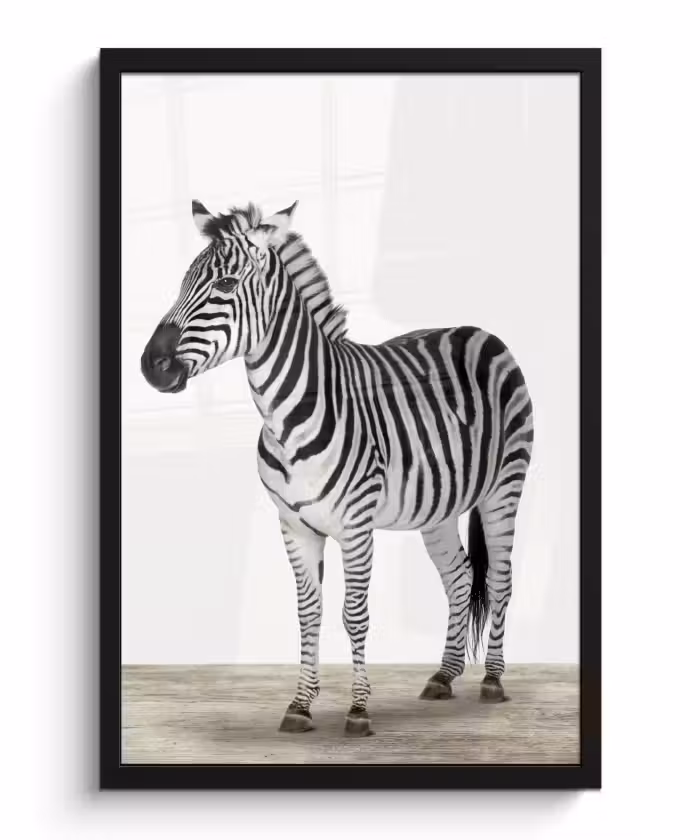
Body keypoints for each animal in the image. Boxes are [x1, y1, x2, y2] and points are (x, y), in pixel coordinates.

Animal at [141, 199, 534, 737]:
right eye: (182, 282)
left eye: (224, 285)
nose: (150, 366)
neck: (286, 417)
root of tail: (481, 331)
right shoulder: (294, 525)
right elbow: (309, 613)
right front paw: (300, 705)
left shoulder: (356, 524)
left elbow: (354, 614)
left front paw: (359, 710)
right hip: (438, 506)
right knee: (458, 578)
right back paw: (444, 675)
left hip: (504, 489)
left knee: (500, 580)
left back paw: (493, 680)